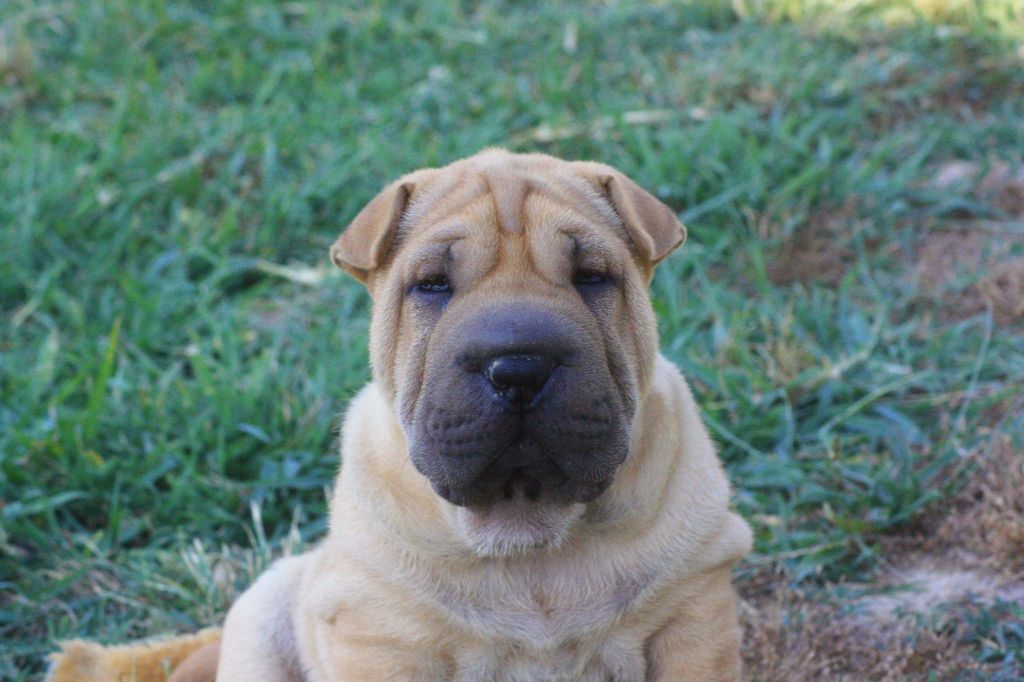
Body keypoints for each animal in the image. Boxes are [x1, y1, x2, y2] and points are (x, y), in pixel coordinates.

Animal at [204, 149, 751, 681]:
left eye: (592, 277)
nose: (519, 369)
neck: (527, 526)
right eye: (432, 285)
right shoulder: (385, 636)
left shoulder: (693, 614)